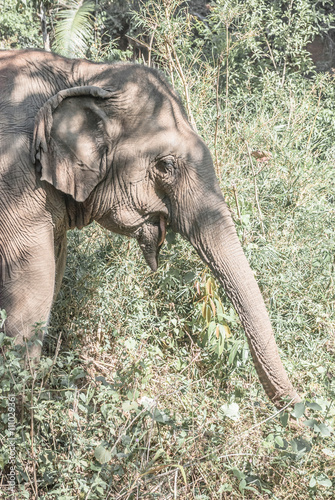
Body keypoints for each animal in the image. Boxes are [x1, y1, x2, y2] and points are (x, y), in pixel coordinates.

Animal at [0, 49, 300, 406]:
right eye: (166, 166)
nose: (299, 407)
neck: (85, 73)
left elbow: (55, 271)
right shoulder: (15, 181)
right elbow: (33, 284)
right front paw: (23, 404)